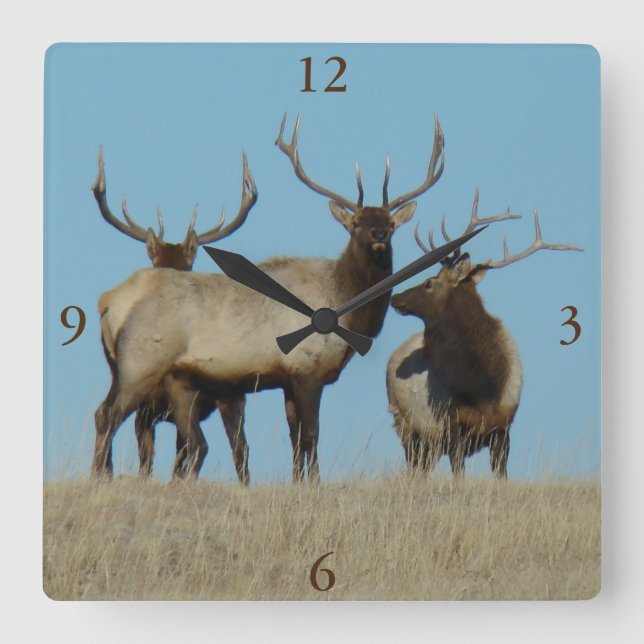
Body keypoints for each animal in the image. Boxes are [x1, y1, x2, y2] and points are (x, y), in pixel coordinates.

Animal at [386, 190, 582, 479]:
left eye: (429, 282)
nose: (395, 297)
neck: (483, 386)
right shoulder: (453, 426)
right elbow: (459, 477)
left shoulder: (503, 427)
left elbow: (501, 477)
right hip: (406, 425)